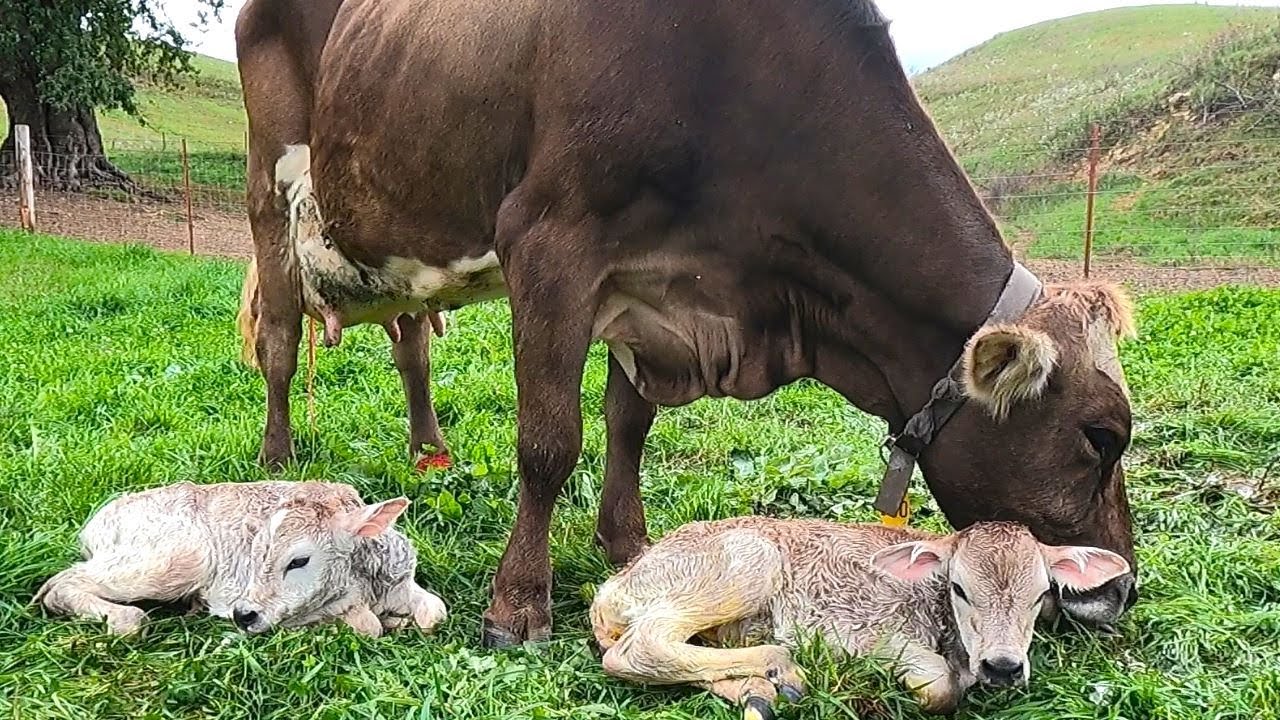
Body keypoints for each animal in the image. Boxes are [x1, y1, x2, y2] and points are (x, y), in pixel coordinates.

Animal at [36, 481, 448, 637]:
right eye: (258, 551)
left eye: (299, 561)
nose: (243, 615)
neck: (366, 586)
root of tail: (97, 522)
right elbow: (366, 625)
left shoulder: (402, 579)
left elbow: (435, 612)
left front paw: (403, 619)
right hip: (175, 558)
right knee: (60, 585)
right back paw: (124, 618)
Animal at [234, 0, 1140, 648]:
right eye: (1102, 436)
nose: (1121, 587)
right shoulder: (550, 242)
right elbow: (549, 442)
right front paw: (518, 604)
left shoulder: (653, 293)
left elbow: (628, 423)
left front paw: (628, 545)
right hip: (269, 192)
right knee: (278, 341)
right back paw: (276, 461)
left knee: (412, 341)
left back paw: (429, 452)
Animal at [591, 517, 1131, 718]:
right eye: (960, 588)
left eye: (1040, 595)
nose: (1002, 666)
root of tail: (614, 585)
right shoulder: (865, 632)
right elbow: (938, 687)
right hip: (744, 564)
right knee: (638, 649)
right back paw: (781, 667)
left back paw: (762, 692)